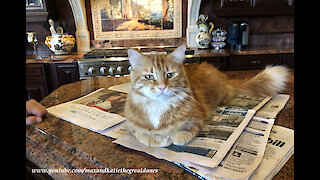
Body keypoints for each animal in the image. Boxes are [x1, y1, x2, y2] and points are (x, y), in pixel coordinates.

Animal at [124, 44, 288, 147]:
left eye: (170, 75)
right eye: (149, 77)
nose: (162, 87)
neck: (160, 107)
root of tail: (225, 79)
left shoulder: (198, 118)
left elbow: (185, 133)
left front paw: (174, 138)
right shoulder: (132, 126)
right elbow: (142, 135)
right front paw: (160, 140)